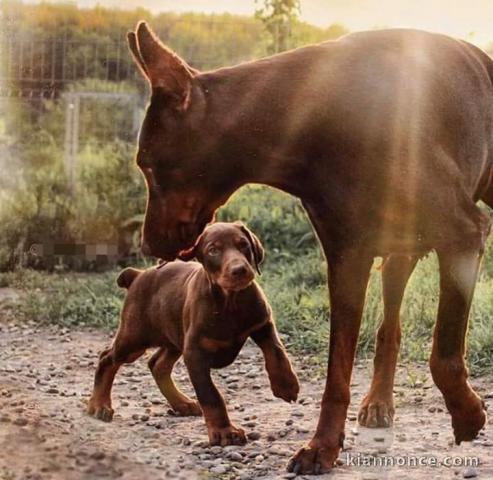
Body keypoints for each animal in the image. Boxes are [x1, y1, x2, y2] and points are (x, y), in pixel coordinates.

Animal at [86, 222, 298, 446]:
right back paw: (99, 405)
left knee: (157, 364)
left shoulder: (261, 323)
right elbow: (211, 395)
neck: (229, 301)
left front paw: (286, 384)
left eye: (243, 245)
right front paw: (224, 431)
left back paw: (182, 403)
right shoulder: (195, 354)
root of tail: (138, 274)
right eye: (213, 250)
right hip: (135, 338)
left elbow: (276, 350)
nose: (239, 270)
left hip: (174, 336)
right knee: (108, 358)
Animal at [125, 24, 490, 474]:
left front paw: (468, 413)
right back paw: (379, 402)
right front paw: (323, 445)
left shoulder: (464, 234)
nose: (147, 245)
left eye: (148, 164)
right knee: (389, 327)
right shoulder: (346, 257)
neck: (319, 121)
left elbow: (445, 352)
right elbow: (337, 371)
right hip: (399, 249)